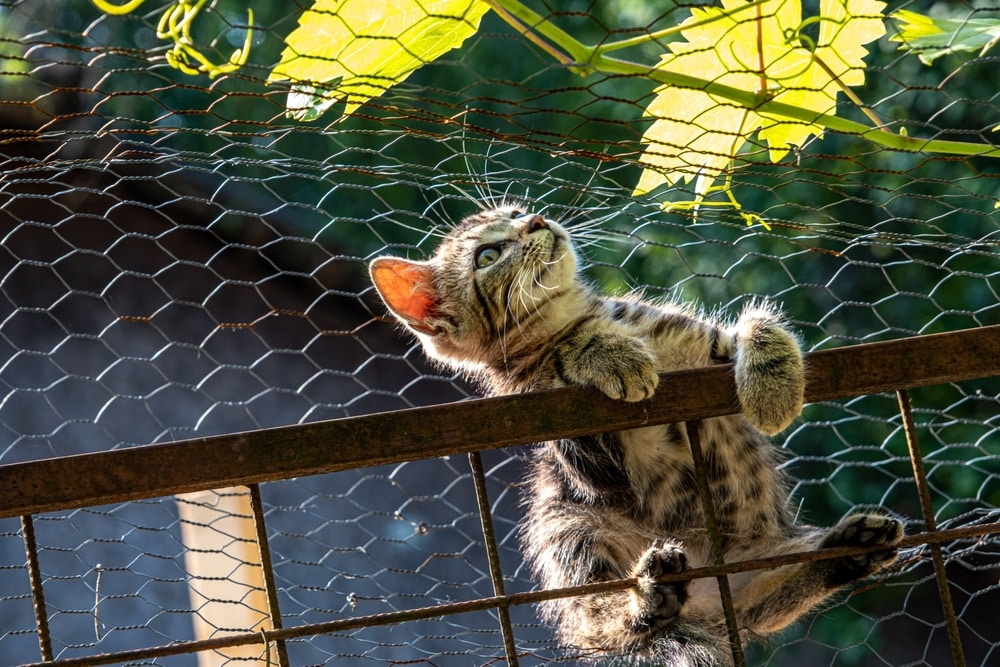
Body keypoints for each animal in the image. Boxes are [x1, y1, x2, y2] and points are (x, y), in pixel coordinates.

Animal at [370, 206, 908, 664]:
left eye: (518, 212)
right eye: (486, 255)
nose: (536, 220)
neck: (582, 316)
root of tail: (704, 607)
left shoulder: (707, 346)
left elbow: (757, 324)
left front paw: (774, 383)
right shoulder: (576, 447)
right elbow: (567, 361)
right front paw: (604, 353)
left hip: (754, 576)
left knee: (773, 595)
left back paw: (851, 545)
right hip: (567, 525)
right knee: (603, 622)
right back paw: (651, 593)